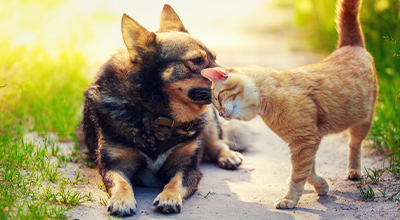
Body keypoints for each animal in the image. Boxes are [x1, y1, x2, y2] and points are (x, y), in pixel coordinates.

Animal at [76, 4, 244, 216]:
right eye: (197, 60)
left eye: (214, 58)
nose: (239, 77)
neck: (157, 114)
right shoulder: (113, 165)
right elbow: (121, 182)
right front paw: (122, 200)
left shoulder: (187, 167)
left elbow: (175, 182)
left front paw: (169, 197)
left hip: (210, 120)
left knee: (217, 143)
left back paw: (229, 156)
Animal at [202, 0, 376, 210]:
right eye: (215, 105)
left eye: (218, 99)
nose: (220, 115)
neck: (269, 95)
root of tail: (350, 45)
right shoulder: (306, 142)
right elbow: (308, 171)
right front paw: (321, 185)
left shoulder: (304, 142)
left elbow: (299, 174)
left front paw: (289, 199)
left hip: (363, 122)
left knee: (354, 144)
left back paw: (354, 171)